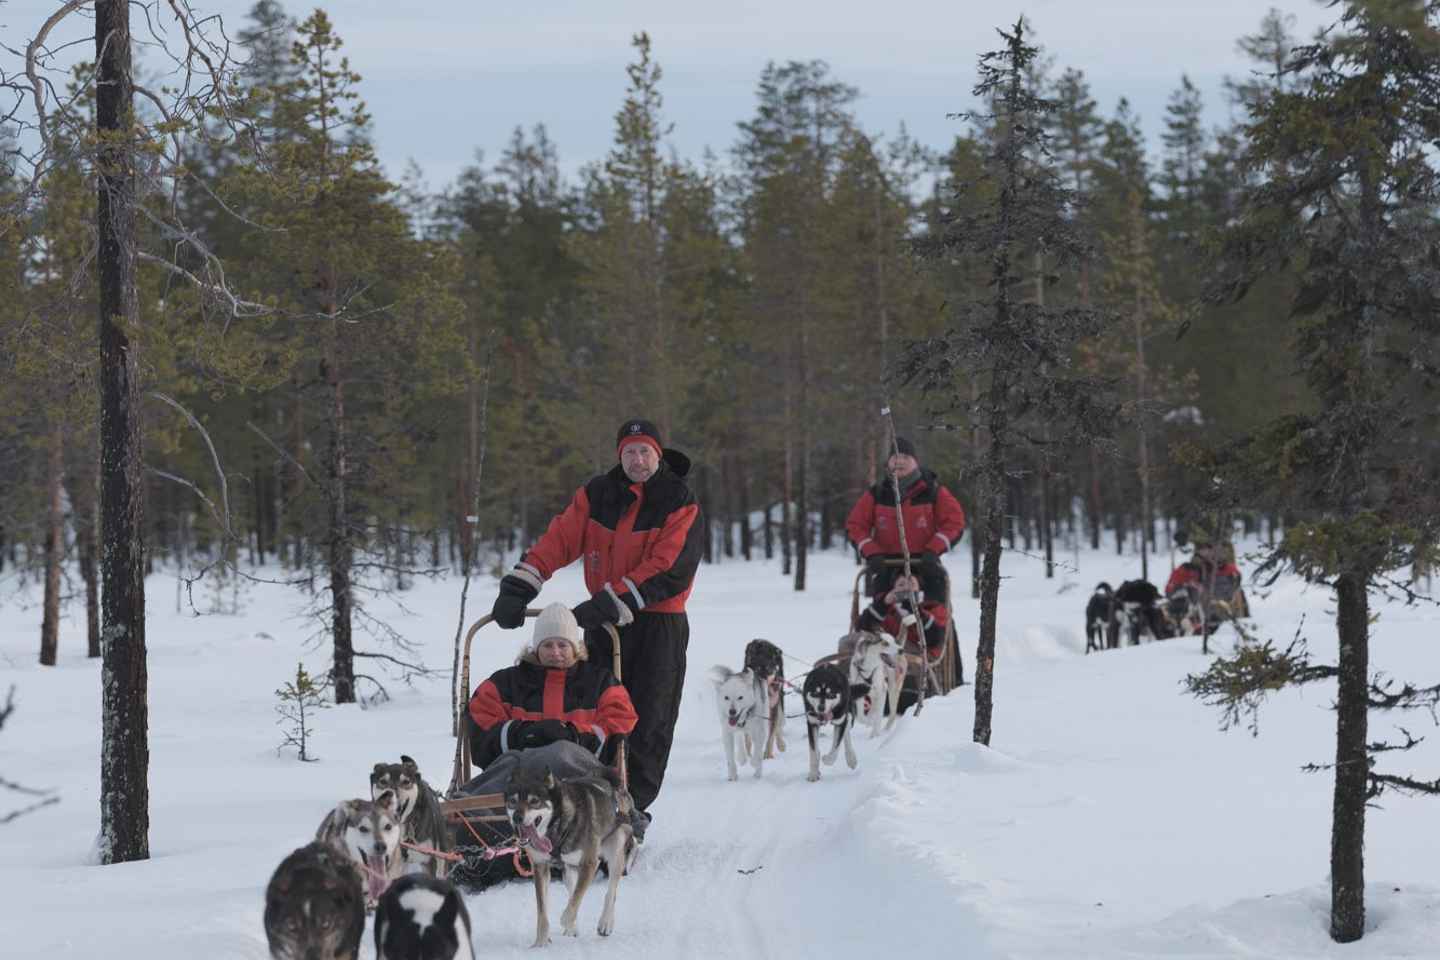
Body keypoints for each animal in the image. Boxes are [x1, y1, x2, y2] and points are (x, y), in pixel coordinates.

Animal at [504, 765, 633, 944]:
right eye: (513, 801)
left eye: (534, 801)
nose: (517, 817)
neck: (557, 827)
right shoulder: (540, 867)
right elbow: (543, 911)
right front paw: (540, 943)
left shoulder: (588, 864)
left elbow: (573, 905)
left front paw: (566, 922)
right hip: (568, 869)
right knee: (573, 891)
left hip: (615, 849)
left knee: (610, 892)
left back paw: (605, 923)